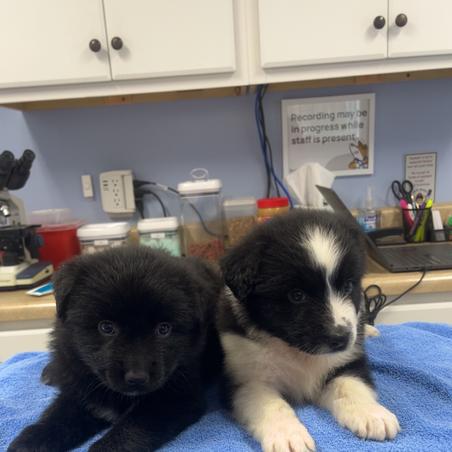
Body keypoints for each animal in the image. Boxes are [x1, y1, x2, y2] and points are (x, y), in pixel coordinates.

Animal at [9, 247, 223, 452]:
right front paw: (32, 439)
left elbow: (134, 427)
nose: (137, 378)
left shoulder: (178, 396)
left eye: (164, 329)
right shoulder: (80, 389)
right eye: (106, 327)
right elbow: (60, 414)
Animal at [218, 209, 400, 452]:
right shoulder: (247, 378)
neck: (297, 351)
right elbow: (270, 405)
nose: (342, 339)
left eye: (348, 286)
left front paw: (372, 414)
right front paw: (287, 435)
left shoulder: (347, 361)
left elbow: (350, 385)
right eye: (297, 295)